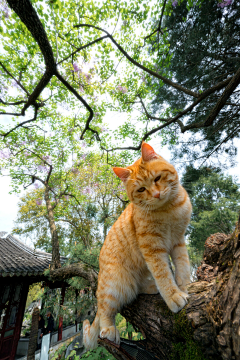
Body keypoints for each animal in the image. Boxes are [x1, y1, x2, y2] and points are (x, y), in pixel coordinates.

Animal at [83, 143, 192, 348]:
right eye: (141, 189)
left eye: (157, 178)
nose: (156, 194)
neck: (168, 209)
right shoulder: (153, 249)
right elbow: (164, 274)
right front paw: (173, 295)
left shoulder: (178, 241)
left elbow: (182, 267)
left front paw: (184, 286)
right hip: (115, 285)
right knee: (105, 309)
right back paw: (109, 328)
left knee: (138, 289)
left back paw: (152, 288)